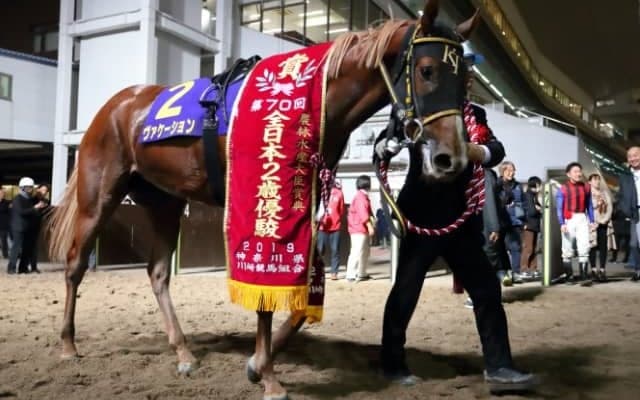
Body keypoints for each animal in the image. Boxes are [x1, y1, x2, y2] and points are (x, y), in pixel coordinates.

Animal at [47, 1, 482, 398]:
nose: (452, 158)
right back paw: (67, 345)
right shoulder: (262, 198)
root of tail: (113, 108)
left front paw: (258, 363)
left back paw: (184, 353)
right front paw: (270, 376)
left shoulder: (303, 200)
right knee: (75, 264)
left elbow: (298, 287)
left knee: (157, 273)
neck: (313, 97)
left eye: (465, 80)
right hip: (98, 196)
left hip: (164, 201)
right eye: (427, 70)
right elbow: (265, 288)